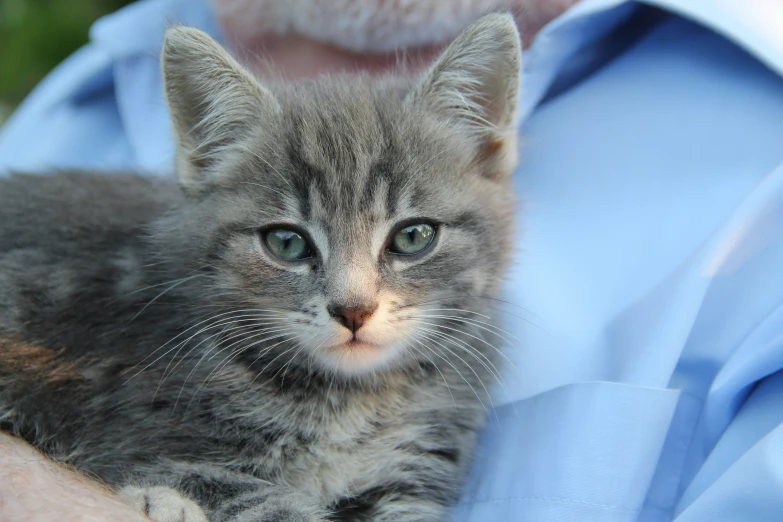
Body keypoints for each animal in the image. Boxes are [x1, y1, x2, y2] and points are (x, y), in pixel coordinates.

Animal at [1, 12, 528, 520]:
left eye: (413, 236)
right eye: (287, 243)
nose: (353, 310)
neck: (347, 400)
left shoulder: (410, 474)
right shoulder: (153, 450)